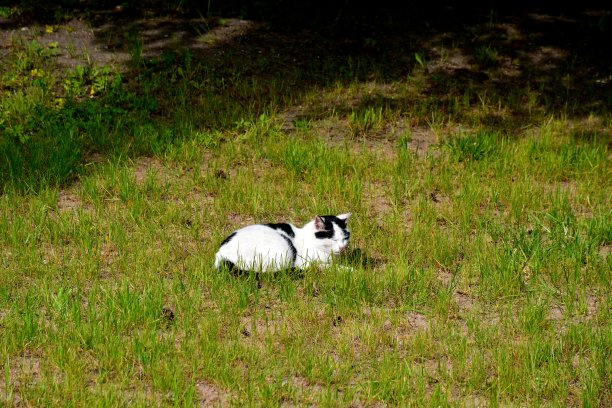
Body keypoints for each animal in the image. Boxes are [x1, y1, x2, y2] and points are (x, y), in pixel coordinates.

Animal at [214, 214, 350, 270]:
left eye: (345, 238)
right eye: (333, 239)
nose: (342, 248)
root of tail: (221, 253)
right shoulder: (305, 261)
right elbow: (330, 266)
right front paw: (350, 270)